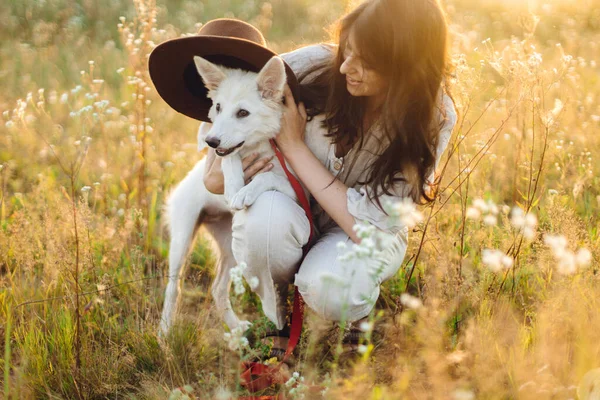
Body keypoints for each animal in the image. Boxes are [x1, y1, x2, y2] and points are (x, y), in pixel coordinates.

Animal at [159, 54, 326, 336]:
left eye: (243, 113)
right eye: (217, 107)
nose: (211, 141)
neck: (260, 145)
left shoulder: (300, 189)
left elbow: (268, 176)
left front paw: (245, 192)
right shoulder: (226, 155)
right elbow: (230, 159)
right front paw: (235, 186)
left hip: (232, 248)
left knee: (217, 289)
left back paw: (236, 330)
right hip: (182, 239)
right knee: (173, 288)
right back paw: (164, 332)